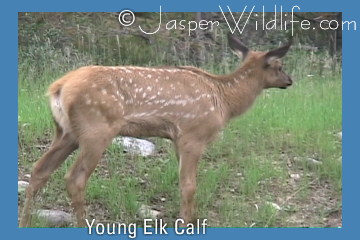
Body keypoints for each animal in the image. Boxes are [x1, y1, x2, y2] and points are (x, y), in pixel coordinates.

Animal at [19, 33, 292, 227]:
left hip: (66, 132)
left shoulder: (177, 138)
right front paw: (185, 223)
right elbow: (189, 185)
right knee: (74, 178)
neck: (224, 101)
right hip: (96, 129)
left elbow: (185, 183)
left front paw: (190, 219)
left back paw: (26, 223)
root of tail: (58, 88)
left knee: (39, 169)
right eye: (278, 66)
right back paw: (81, 225)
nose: (290, 80)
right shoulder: (194, 134)